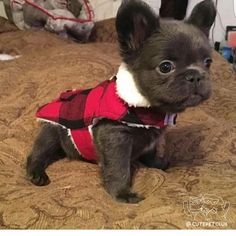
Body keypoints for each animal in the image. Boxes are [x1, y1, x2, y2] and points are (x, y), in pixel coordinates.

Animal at [26, 0, 217, 203]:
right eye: (166, 67)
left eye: (208, 62)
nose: (196, 75)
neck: (148, 107)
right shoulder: (116, 136)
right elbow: (119, 168)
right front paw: (122, 193)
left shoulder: (151, 134)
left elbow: (150, 151)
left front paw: (156, 163)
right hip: (52, 132)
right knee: (39, 153)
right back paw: (36, 173)